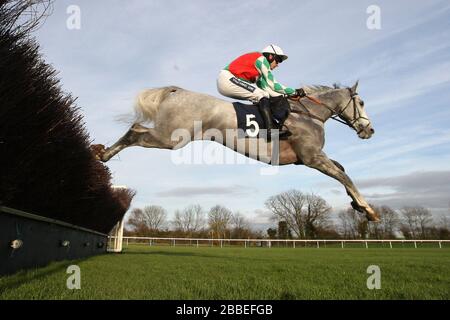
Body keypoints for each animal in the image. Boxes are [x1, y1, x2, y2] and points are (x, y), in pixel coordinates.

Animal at [92, 82, 380, 221]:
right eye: (362, 103)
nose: (369, 130)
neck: (308, 114)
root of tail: (177, 91)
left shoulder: (306, 159)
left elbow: (342, 169)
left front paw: (357, 206)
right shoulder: (312, 157)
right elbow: (345, 176)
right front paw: (369, 210)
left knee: (135, 129)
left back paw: (101, 153)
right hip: (171, 138)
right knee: (136, 129)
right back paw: (103, 154)